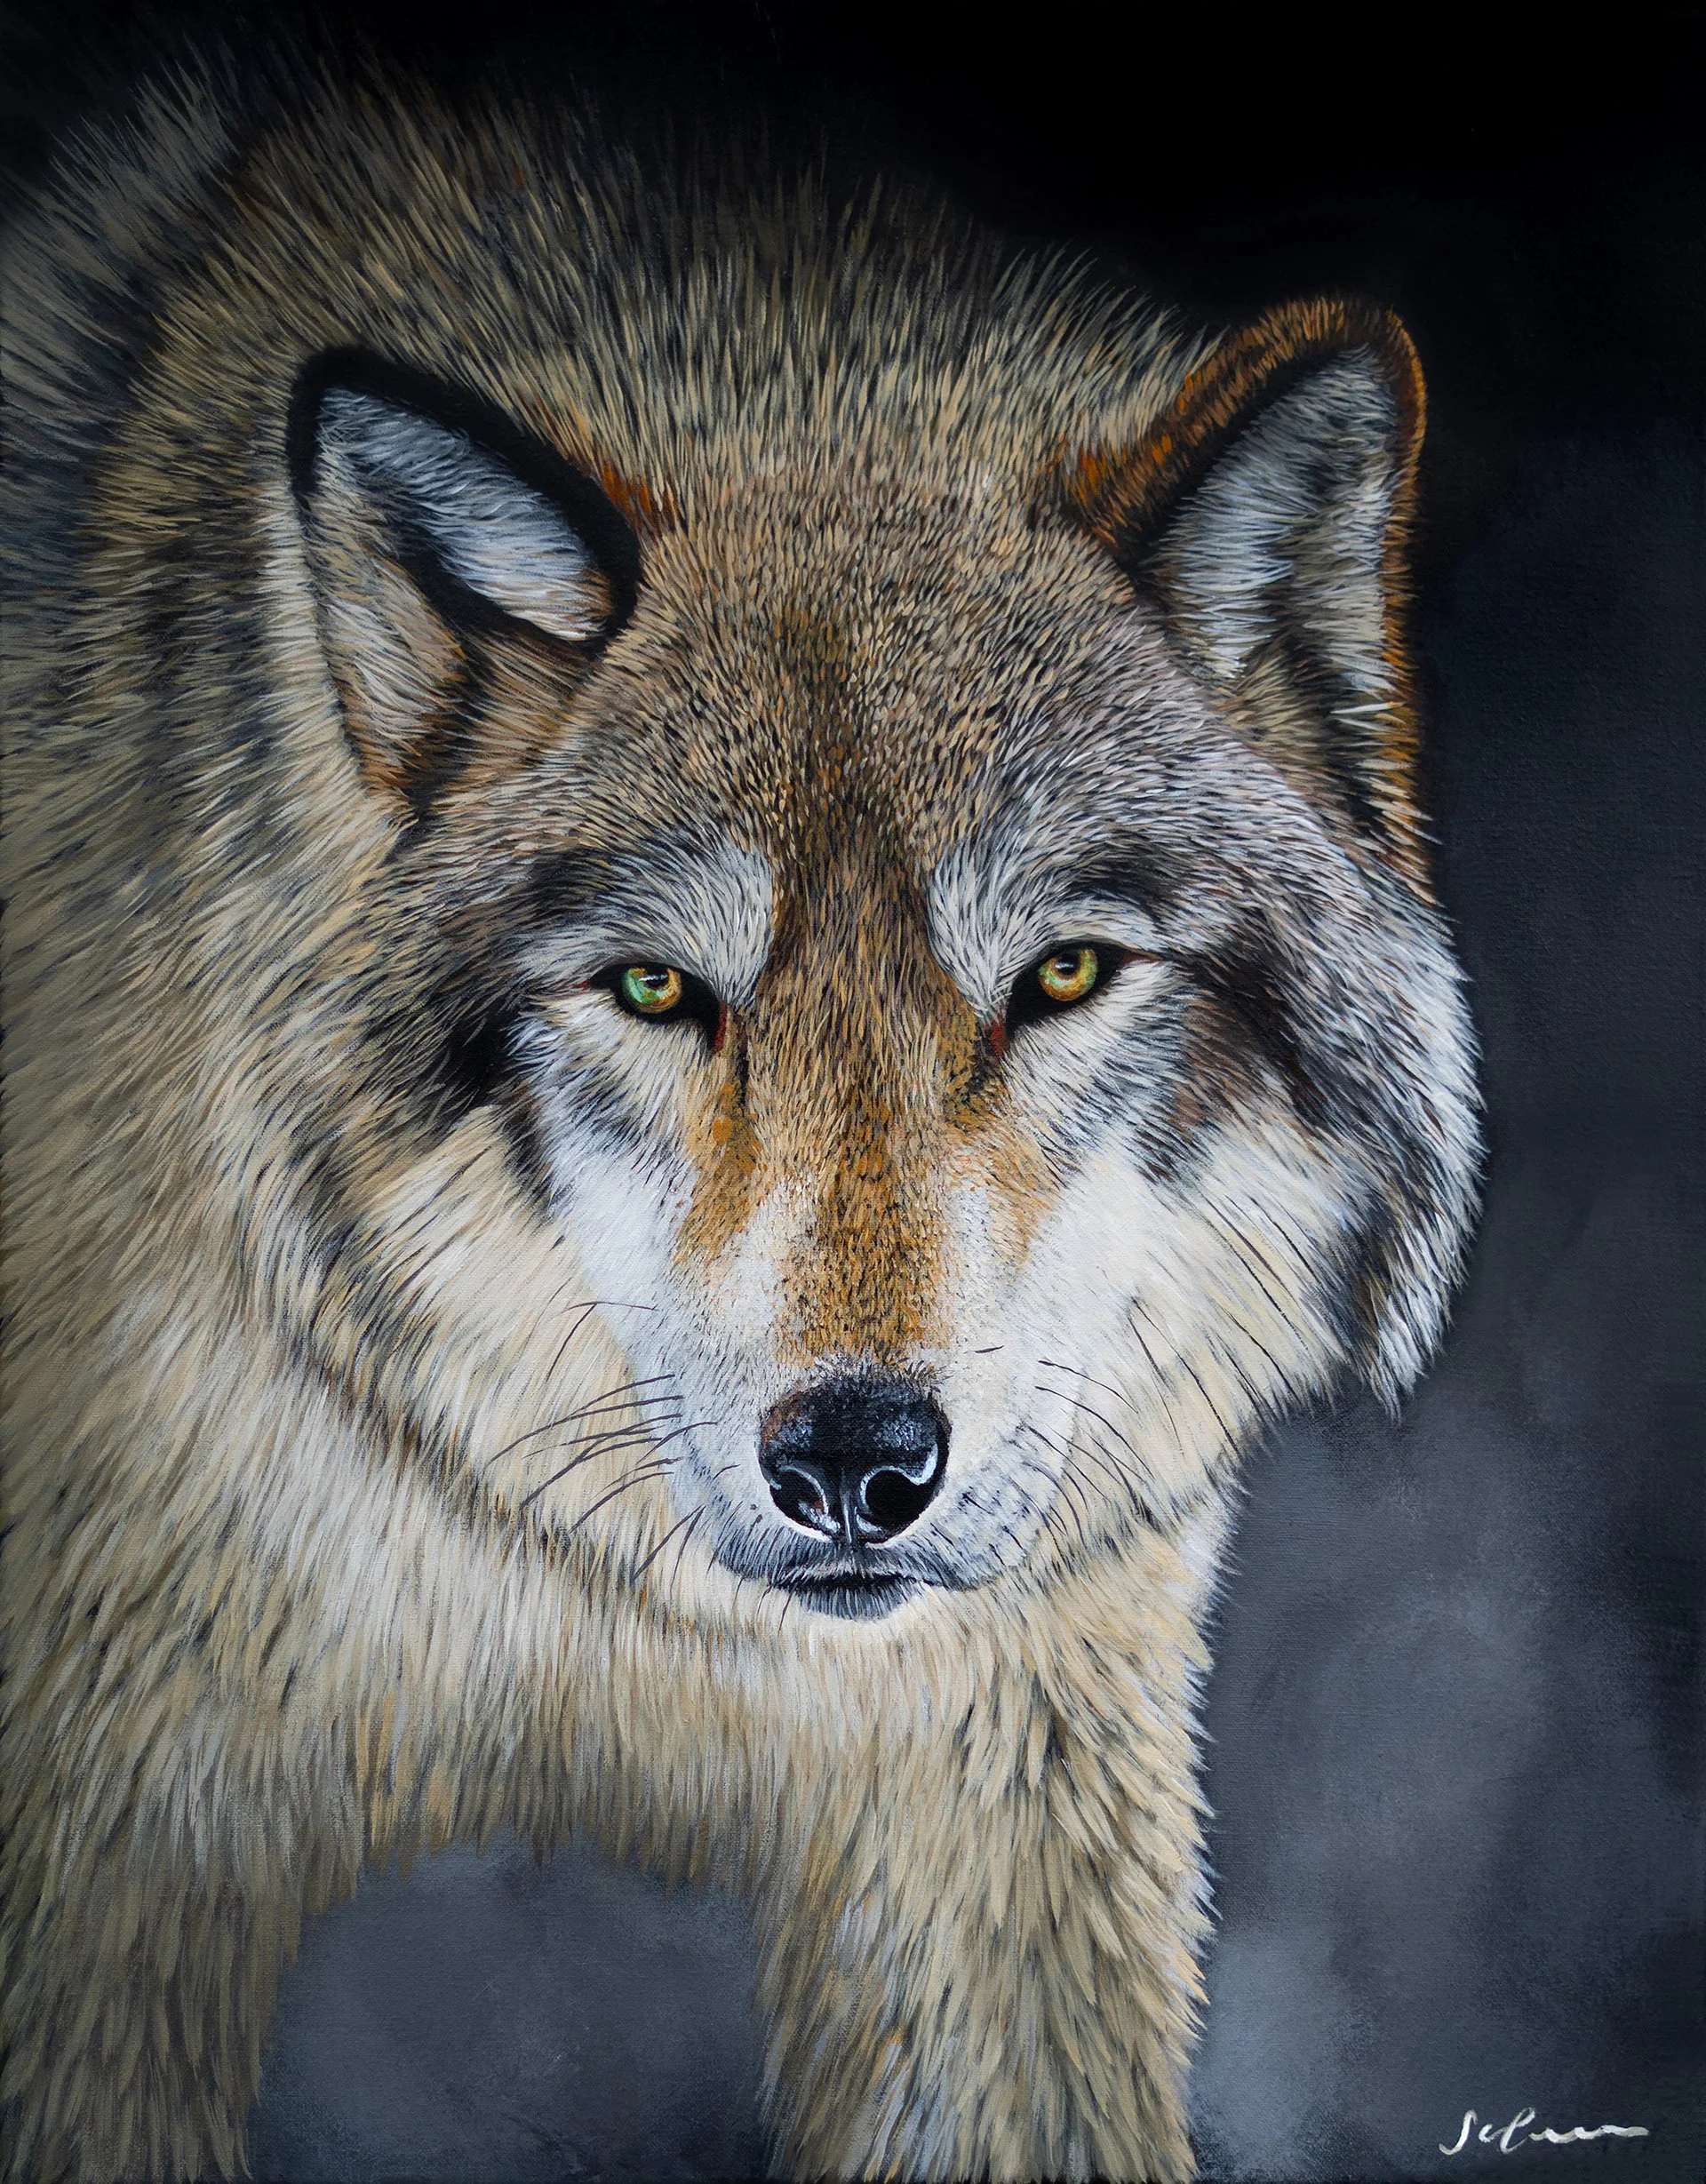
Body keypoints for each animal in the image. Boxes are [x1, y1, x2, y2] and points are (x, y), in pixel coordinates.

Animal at [0, 42, 1481, 2184]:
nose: (858, 1459)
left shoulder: (1008, 1810)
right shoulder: (104, 1858)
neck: (584, 1608)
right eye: (656, 990)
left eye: (1060, 973)